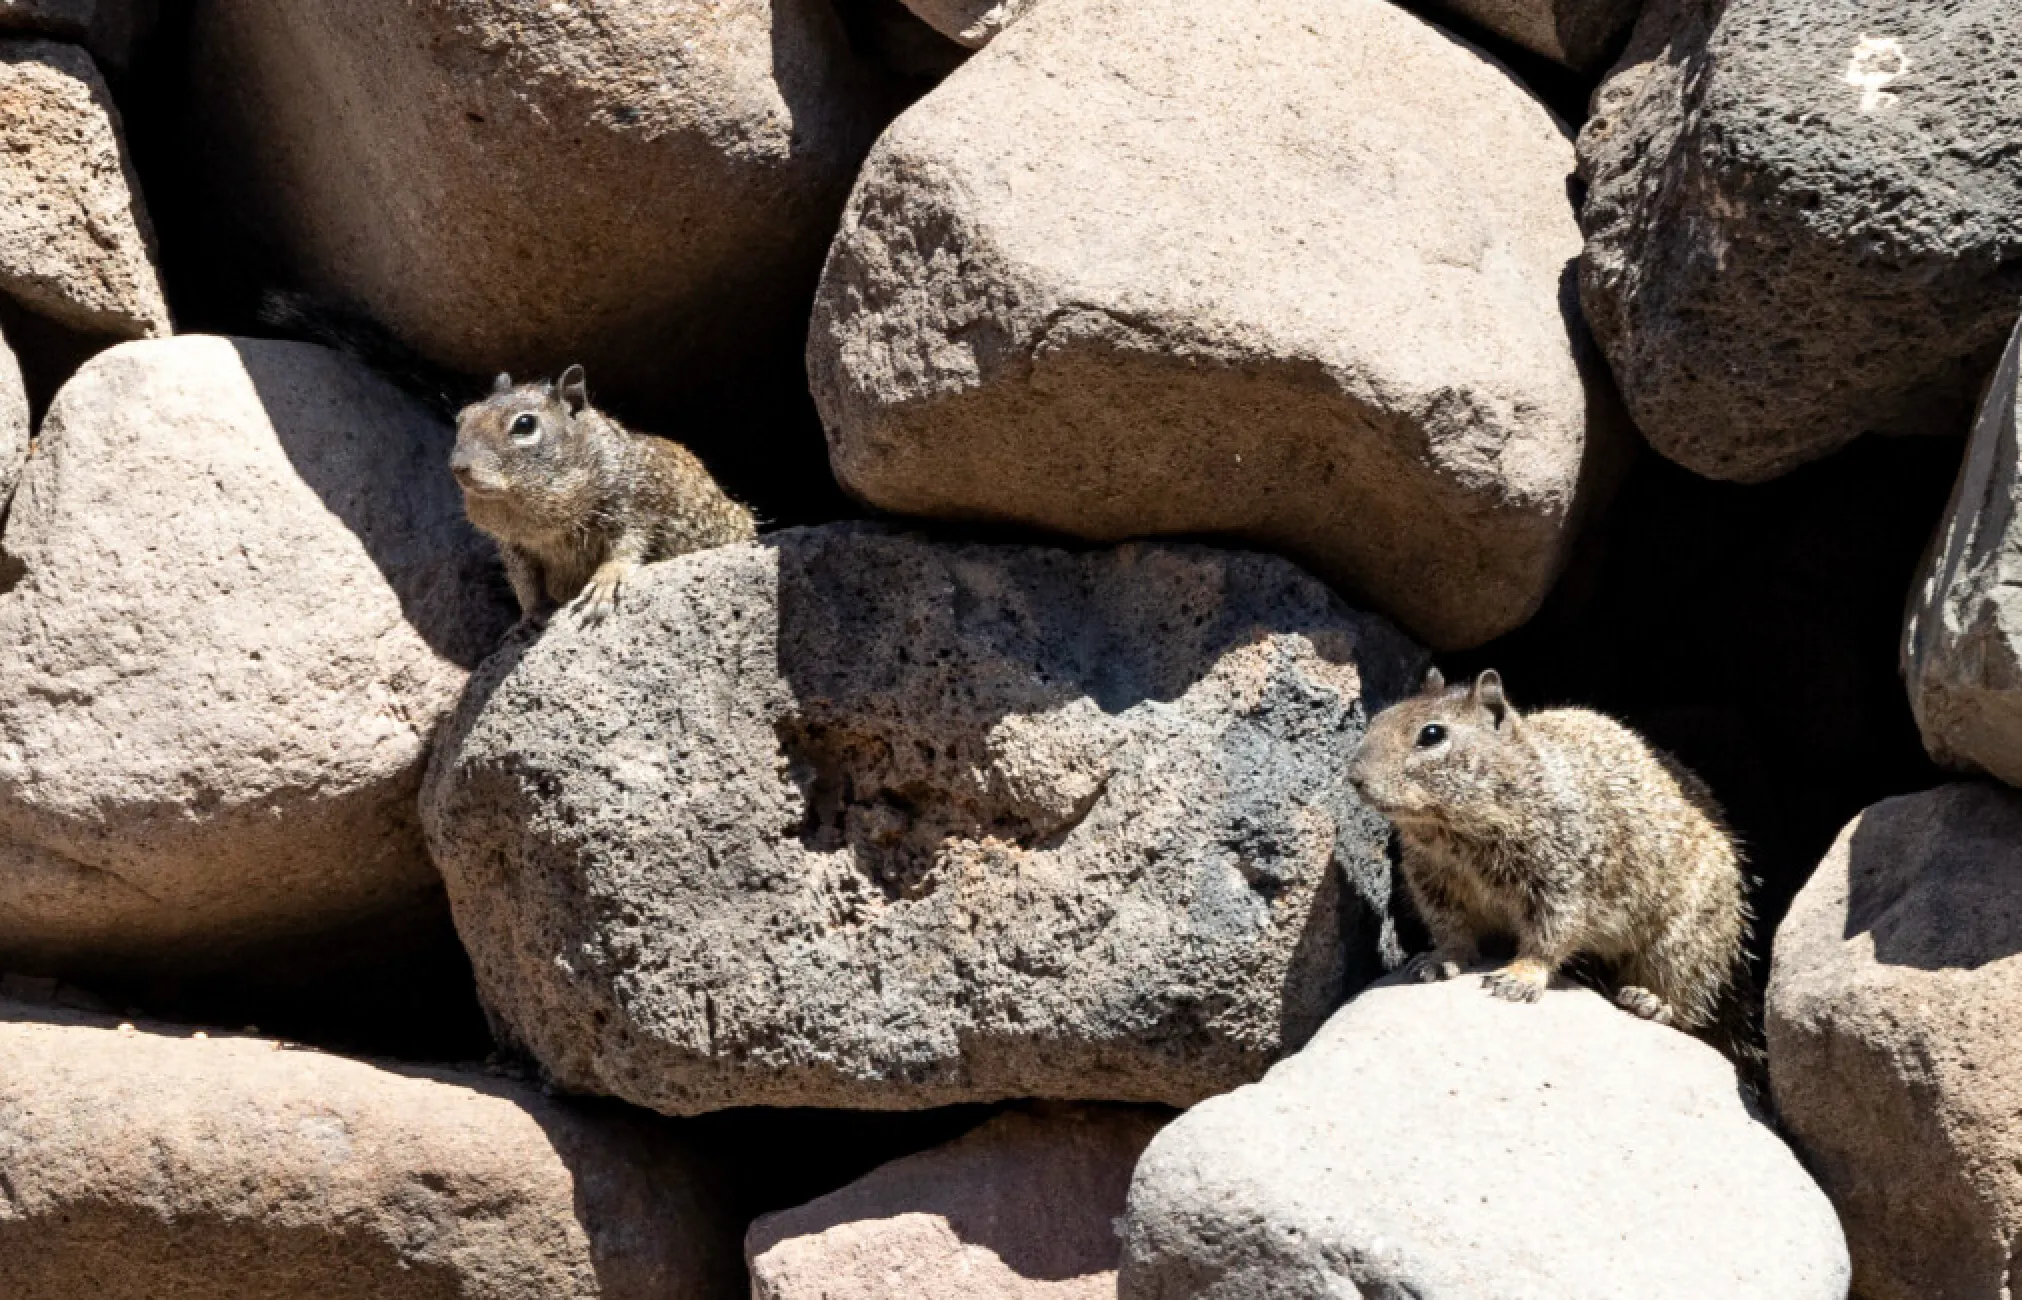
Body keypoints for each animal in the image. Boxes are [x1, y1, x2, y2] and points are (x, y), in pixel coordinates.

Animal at [449, 366, 756, 625]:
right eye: (462, 417)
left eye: (524, 424)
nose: (457, 467)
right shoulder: (514, 547)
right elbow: (525, 583)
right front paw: (529, 616)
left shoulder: (637, 505)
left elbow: (626, 546)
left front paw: (605, 583)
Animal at [1347, 668, 1754, 1049]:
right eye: (1379, 718)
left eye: (1431, 734)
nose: (1353, 777)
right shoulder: (1433, 883)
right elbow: (1451, 929)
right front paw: (1438, 960)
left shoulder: (1561, 880)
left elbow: (1549, 936)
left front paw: (1519, 977)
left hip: (1686, 939)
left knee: (1684, 1001)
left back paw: (1649, 1001)